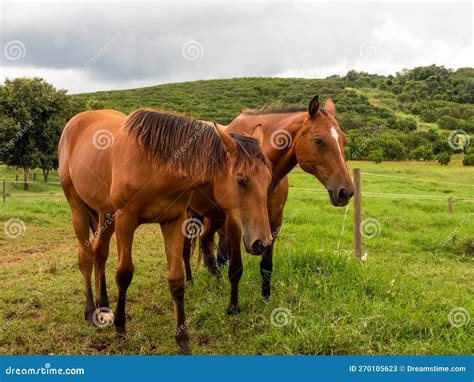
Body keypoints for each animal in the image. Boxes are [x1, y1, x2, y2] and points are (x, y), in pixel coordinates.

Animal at [58, 108, 272, 356]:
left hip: (105, 213)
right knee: (85, 257)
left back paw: (104, 307)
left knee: (99, 253)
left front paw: (183, 342)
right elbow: (124, 275)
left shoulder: (173, 222)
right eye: (240, 180)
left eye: (268, 178)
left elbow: (176, 280)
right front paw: (121, 331)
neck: (155, 164)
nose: (262, 242)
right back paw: (91, 310)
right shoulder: (125, 220)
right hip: (77, 206)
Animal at [183, 96, 354, 302]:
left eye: (344, 140)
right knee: (186, 248)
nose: (346, 191)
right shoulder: (235, 223)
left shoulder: (273, 222)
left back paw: (217, 283)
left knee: (206, 242)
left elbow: (266, 266)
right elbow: (236, 267)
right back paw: (189, 281)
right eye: (318, 140)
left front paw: (265, 299)